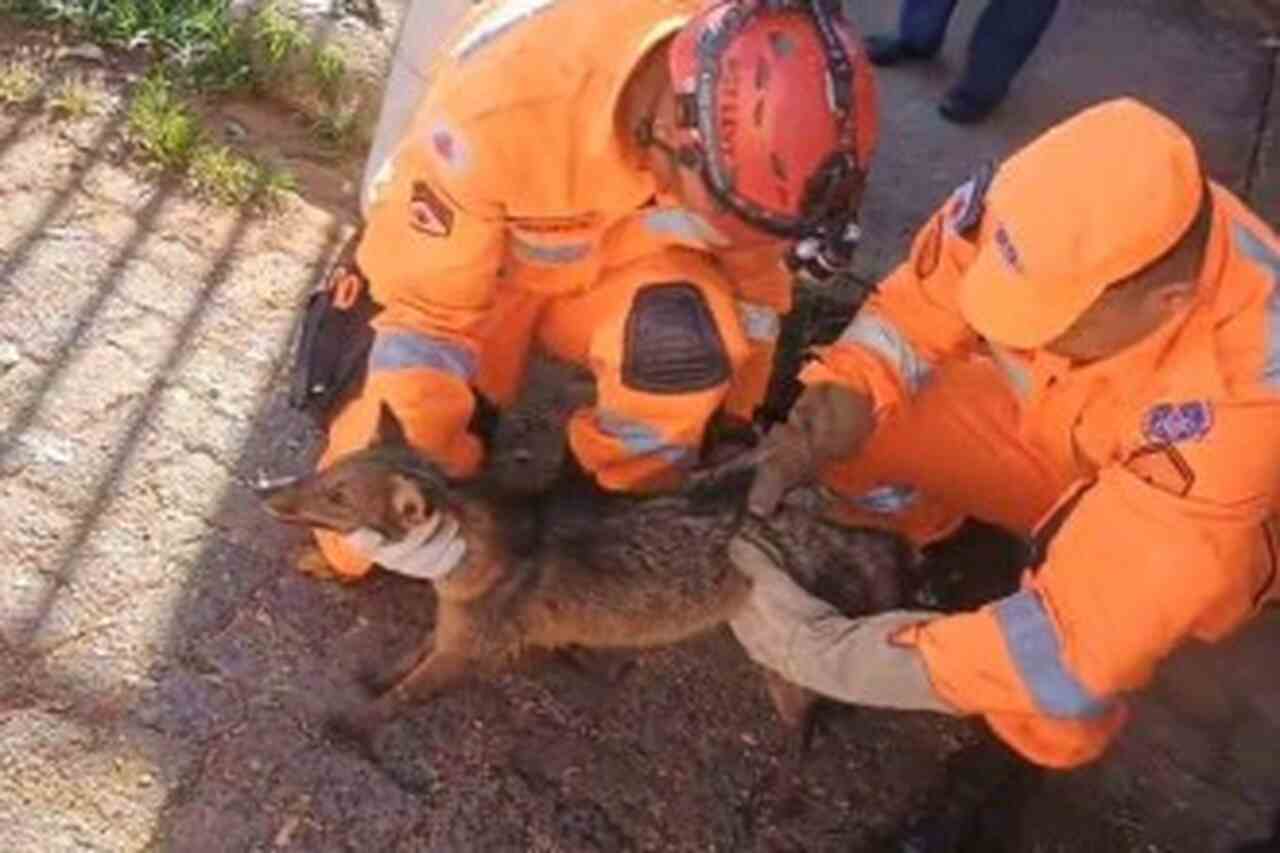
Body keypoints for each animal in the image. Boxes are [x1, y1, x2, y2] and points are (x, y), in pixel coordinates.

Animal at [254, 402, 917, 754]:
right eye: (328, 477)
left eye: (337, 498)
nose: (266, 494)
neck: (469, 548)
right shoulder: (455, 628)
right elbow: (407, 657)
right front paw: (376, 676)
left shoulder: (467, 647)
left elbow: (407, 693)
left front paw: (358, 721)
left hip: (784, 665)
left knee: (809, 709)